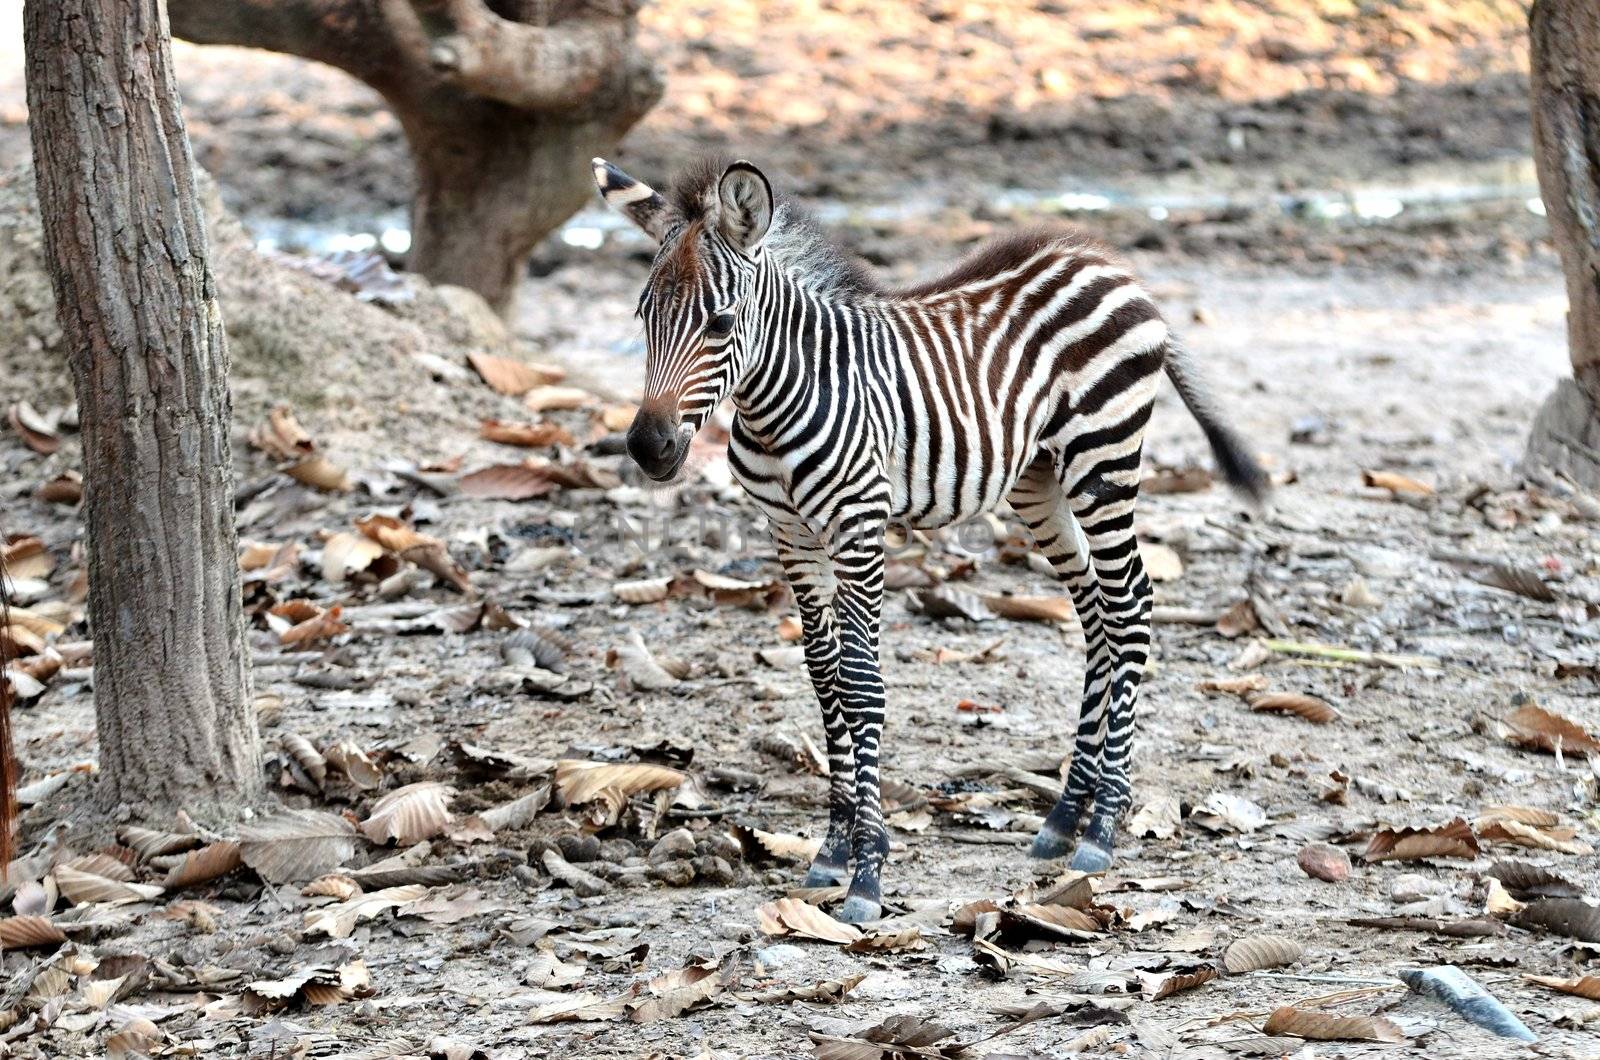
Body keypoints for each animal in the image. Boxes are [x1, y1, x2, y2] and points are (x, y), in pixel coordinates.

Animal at [595, 156, 1267, 922]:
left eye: (720, 321)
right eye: (643, 316)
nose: (648, 448)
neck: (775, 406)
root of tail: (1105, 260)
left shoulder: (858, 528)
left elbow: (862, 685)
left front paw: (867, 874)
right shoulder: (790, 536)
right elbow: (824, 678)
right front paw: (832, 851)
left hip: (1104, 460)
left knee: (1129, 608)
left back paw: (1101, 830)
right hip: (1038, 480)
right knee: (1097, 613)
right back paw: (1065, 815)